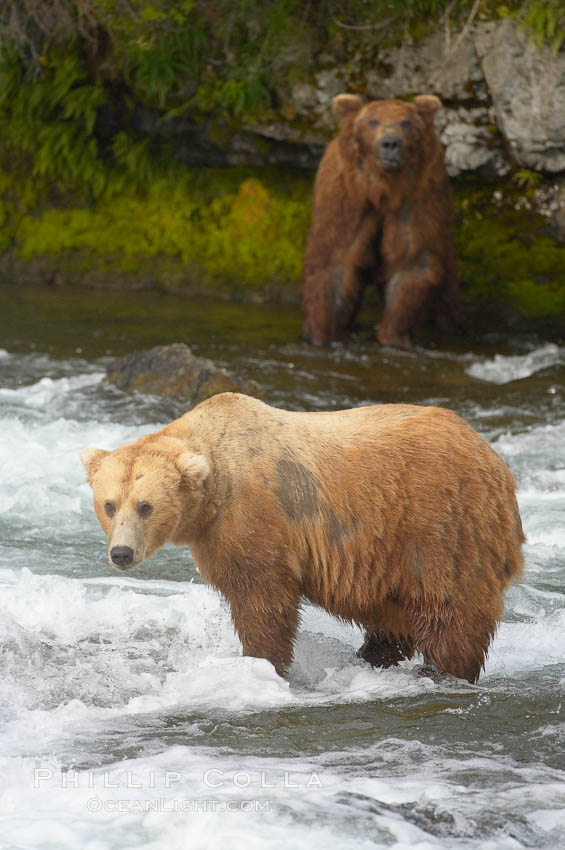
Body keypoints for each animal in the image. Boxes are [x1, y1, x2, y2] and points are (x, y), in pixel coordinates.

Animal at [81, 392, 524, 684]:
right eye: (109, 504)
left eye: (145, 505)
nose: (121, 553)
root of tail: (495, 462)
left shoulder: (254, 517)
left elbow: (263, 600)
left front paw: (262, 663)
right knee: (392, 618)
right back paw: (371, 657)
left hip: (440, 526)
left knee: (450, 614)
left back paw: (443, 672)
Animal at [300, 96, 462, 352]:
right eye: (372, 121)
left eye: (406, 122)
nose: (390, 143)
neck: (382, 188)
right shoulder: (347, 195)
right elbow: (335, 259)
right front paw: (318, 334)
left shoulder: (418, 196)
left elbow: (412, 260)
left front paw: (393, 336)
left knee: (446, 304)